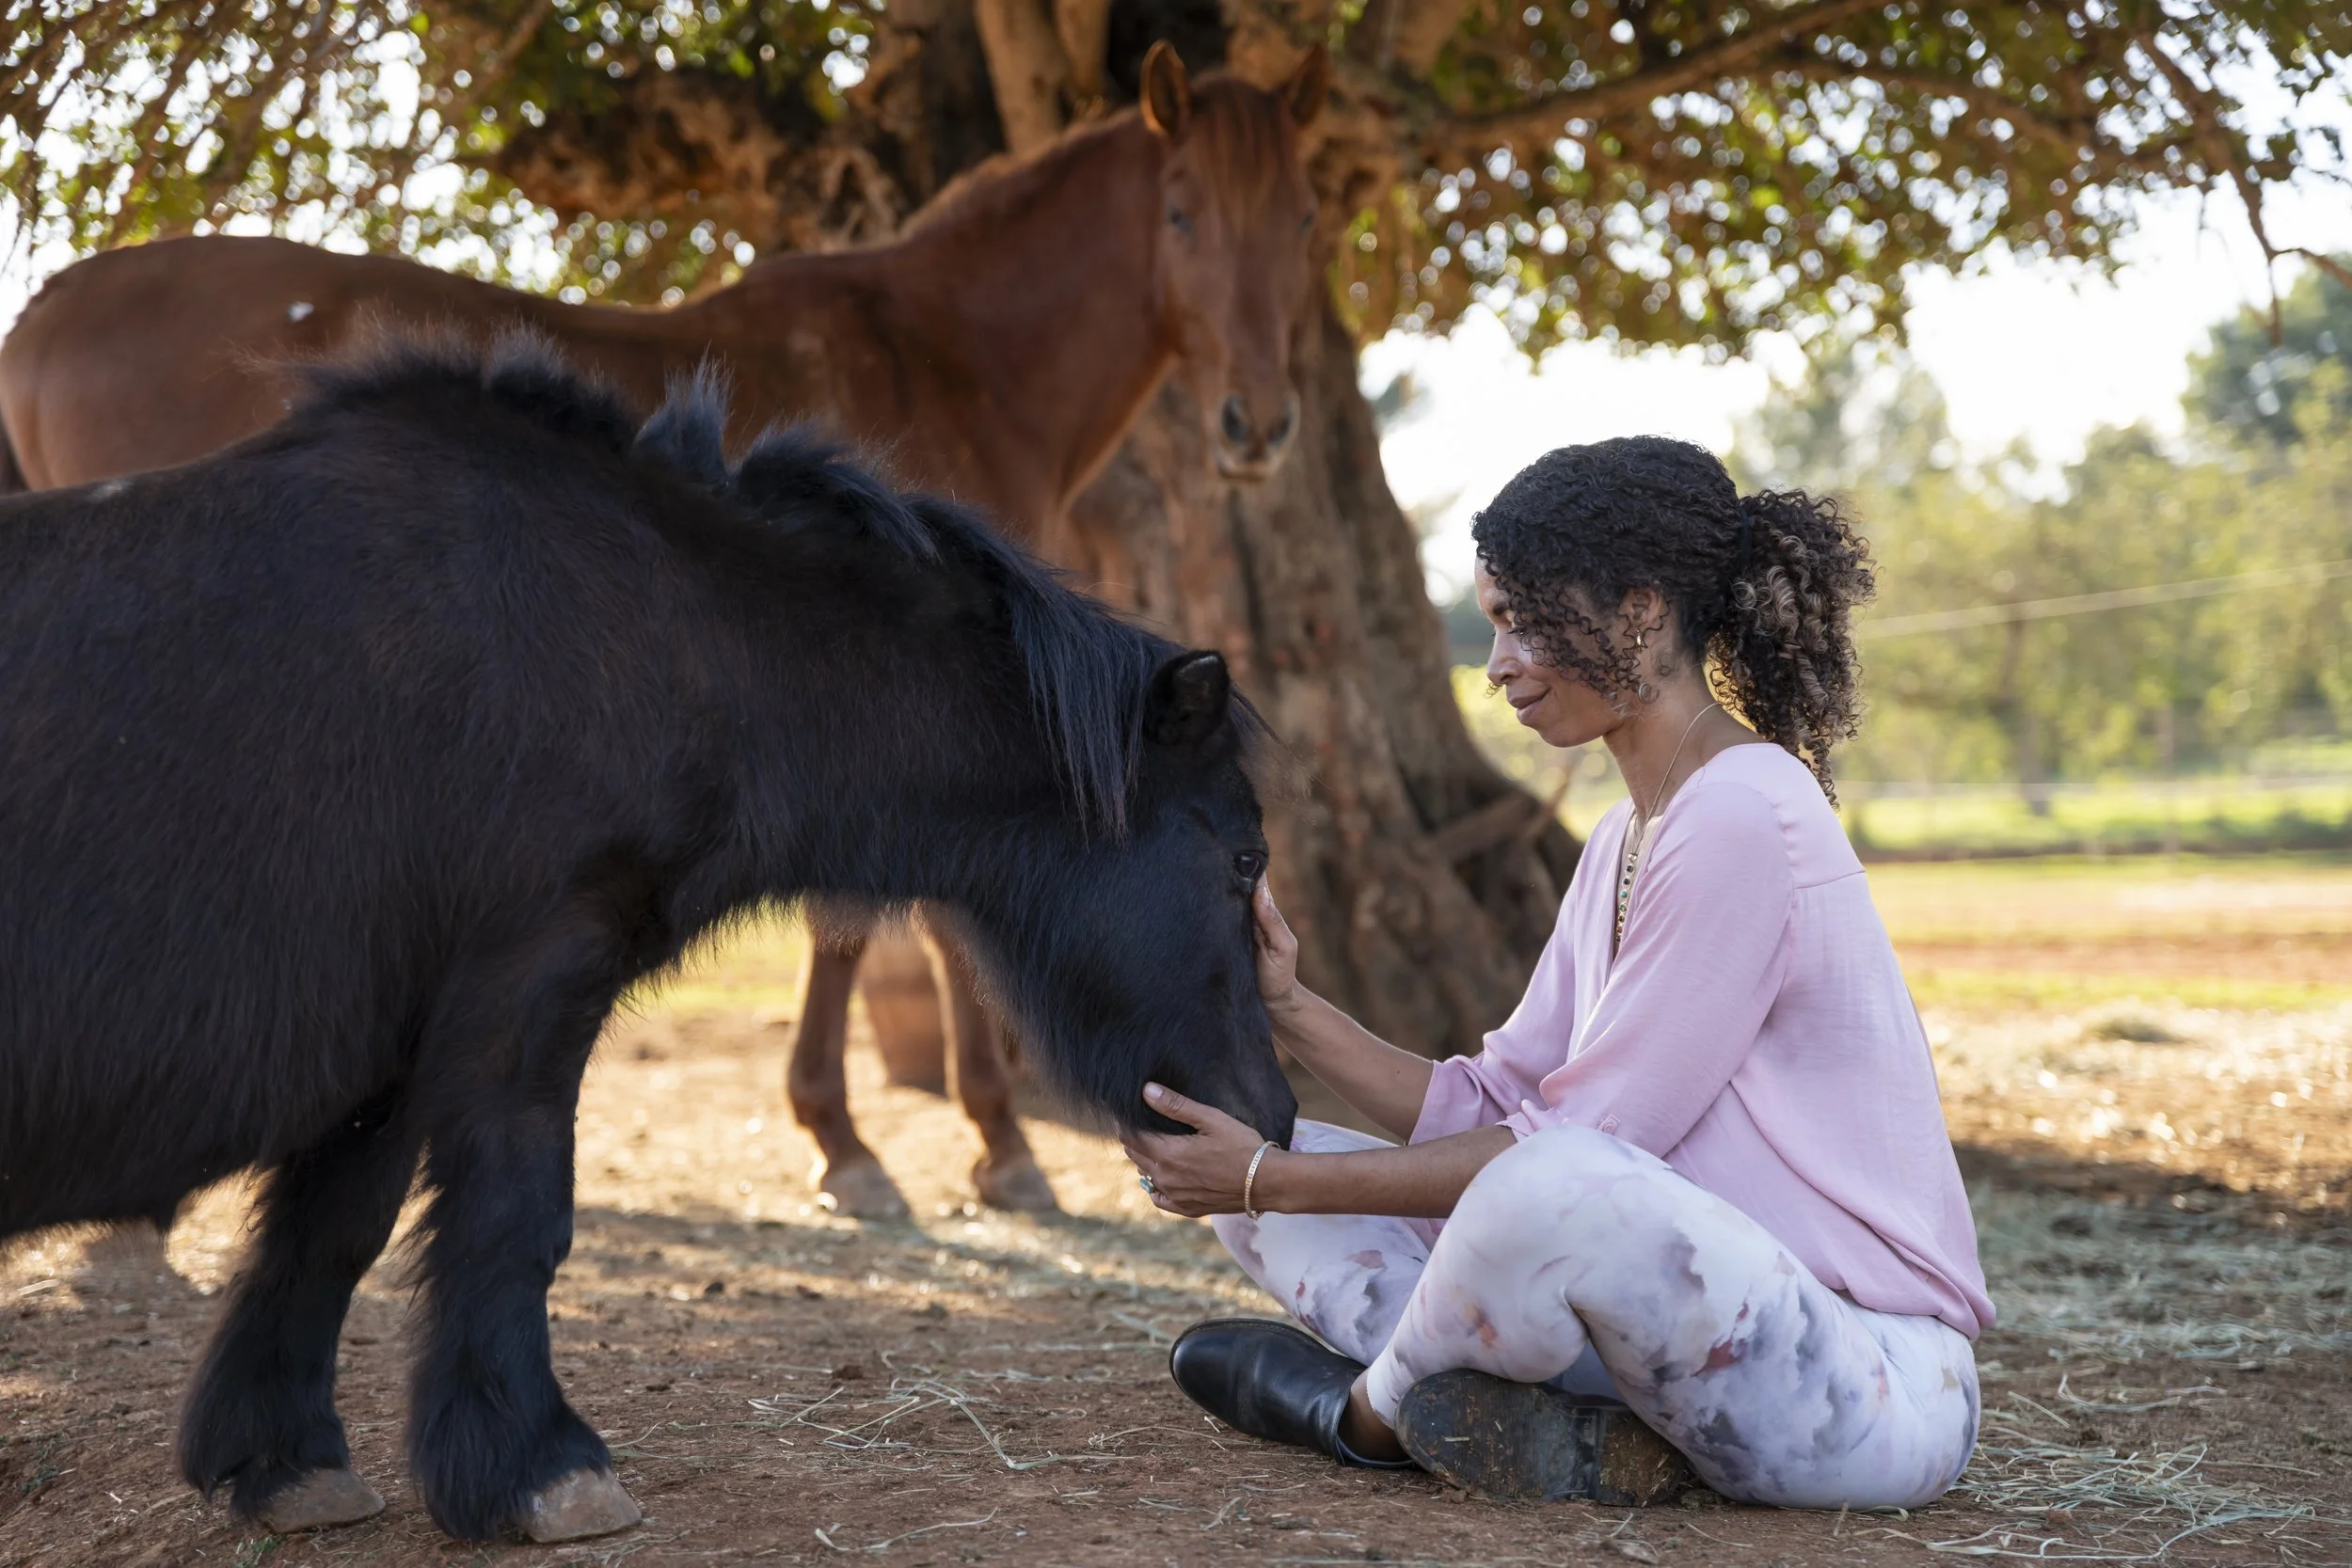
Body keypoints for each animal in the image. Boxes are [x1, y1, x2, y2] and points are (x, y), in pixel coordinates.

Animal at [0, 41, 1327, 1221]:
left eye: (1296, 224)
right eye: (1180, 213)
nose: (1258, 423)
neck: (938, 356)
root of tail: (53, 302)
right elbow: (872, 925)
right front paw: (919, 1146)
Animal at [0, 334, 1297, 1543]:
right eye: (1244, 858)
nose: (1271, 1118)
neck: (658, 628)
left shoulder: (393, 1049)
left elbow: (331, 1232)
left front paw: (283, 1459)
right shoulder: (529, 980)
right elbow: (517, 1210)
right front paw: (540, 1466)